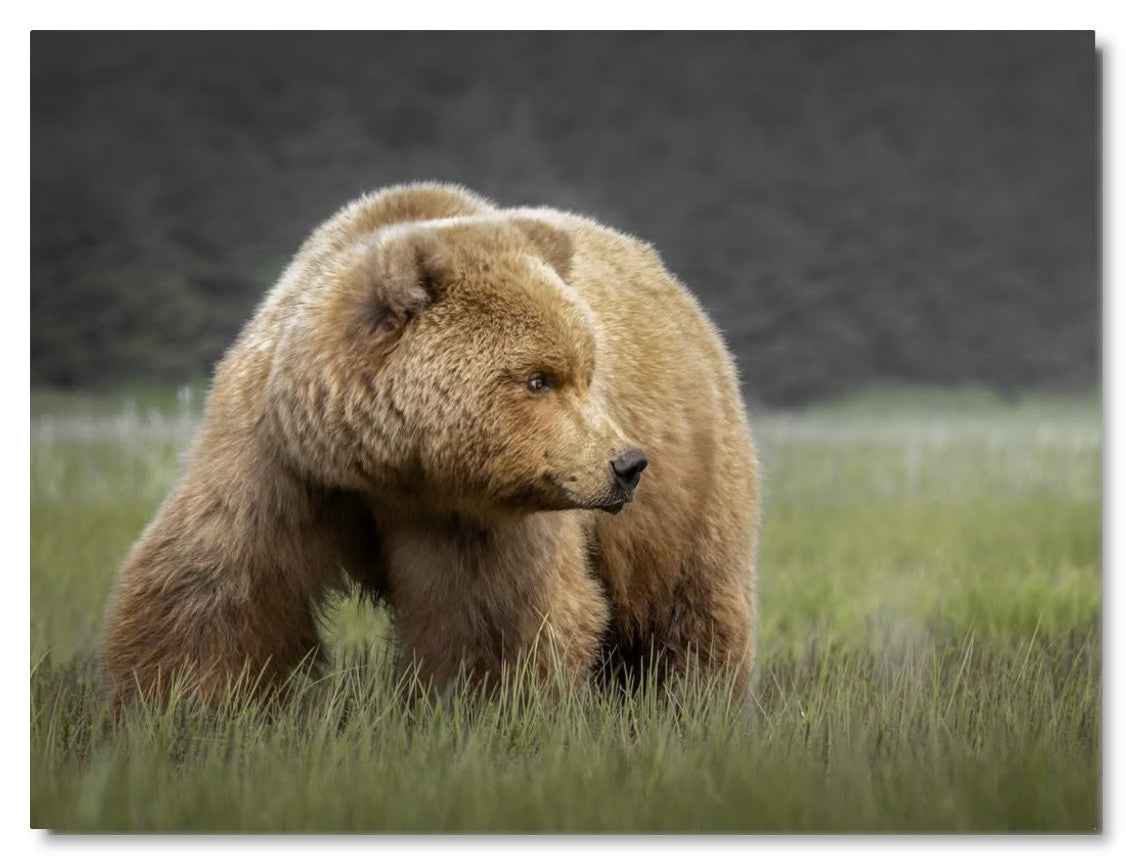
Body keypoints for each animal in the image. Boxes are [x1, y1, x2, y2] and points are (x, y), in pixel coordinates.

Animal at [101, 182, 760, 704]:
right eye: (538, 379)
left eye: (586, 373)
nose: (626, 463)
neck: (385, 466)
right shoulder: (279, 458)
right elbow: (216, 586)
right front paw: (177, 705)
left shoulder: (476, 515)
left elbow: (495, 617)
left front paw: (486, 709)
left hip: (694, 483)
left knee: (691, 603)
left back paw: (695, 699)